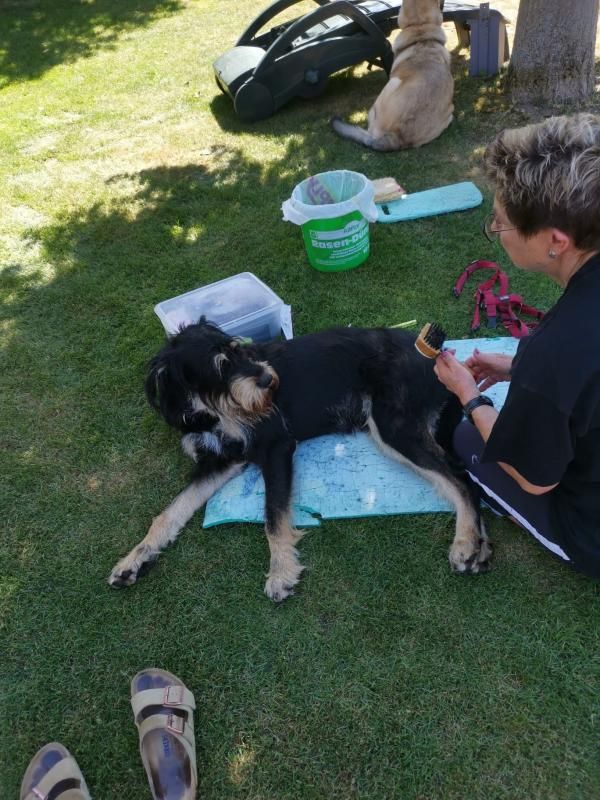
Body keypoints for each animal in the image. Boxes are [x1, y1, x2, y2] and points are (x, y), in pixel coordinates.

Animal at [108, 320, 490, 600]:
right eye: (221, 367)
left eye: (238, 349)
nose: (268, 380)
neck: (211, 410)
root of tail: (438, 355)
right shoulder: (220, 462)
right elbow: (169, 513)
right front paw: (134, 558)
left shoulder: (276, 447)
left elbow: (272, 517)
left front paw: (280, 572)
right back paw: (479, 548)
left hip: (393, 427)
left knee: (460, 479)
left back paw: (464, 543)